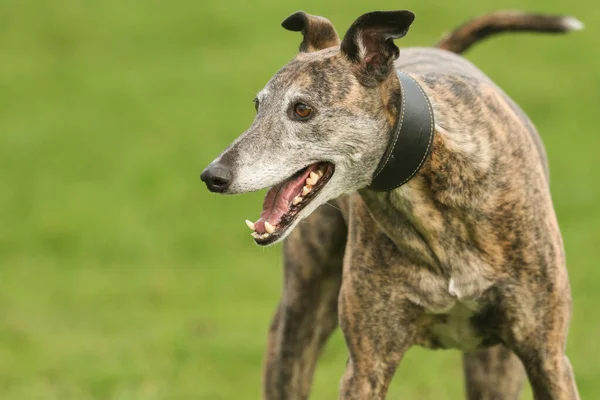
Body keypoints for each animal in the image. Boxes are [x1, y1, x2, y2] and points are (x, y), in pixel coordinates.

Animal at [200, 9, 580, 400]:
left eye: (302, 109)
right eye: (258, 106)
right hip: (296, 325)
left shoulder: (547, 357)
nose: (213, 176)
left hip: (496, 366)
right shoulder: (367, 365)